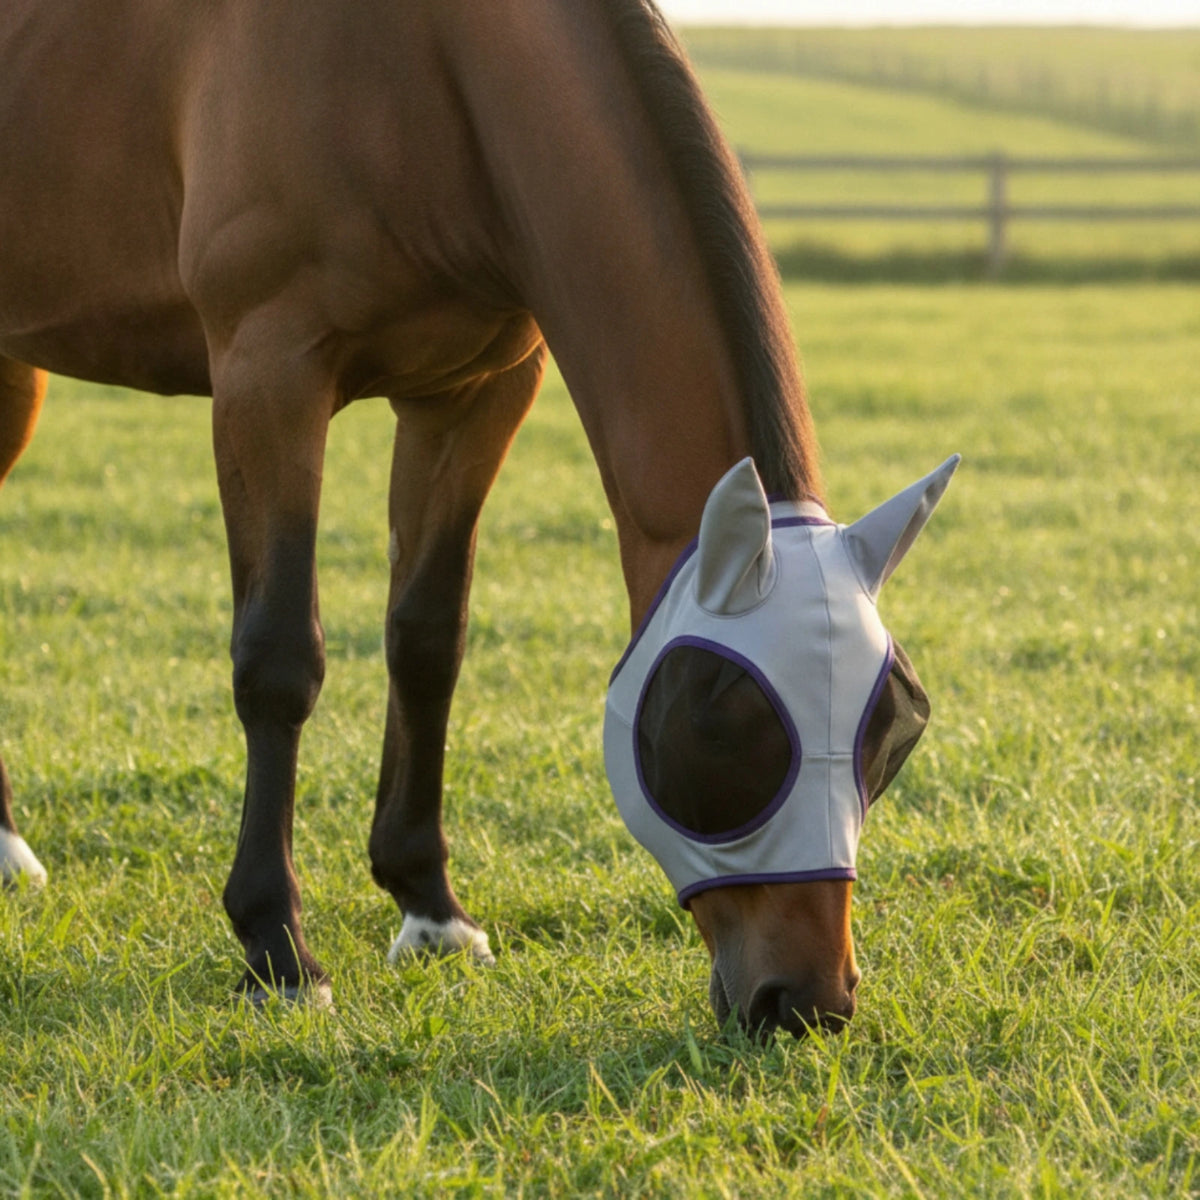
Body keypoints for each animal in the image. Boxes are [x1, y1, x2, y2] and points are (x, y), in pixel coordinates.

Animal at [0, 0, 955, 1037]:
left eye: (895, 728)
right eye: (718, 725)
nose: (807, 1002)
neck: (417, 64)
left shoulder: (471, 395)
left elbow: (428, 639)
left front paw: (430, 910)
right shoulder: (268, 374)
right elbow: (279, 658)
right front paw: (276, 946)